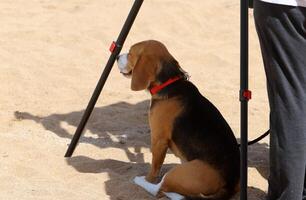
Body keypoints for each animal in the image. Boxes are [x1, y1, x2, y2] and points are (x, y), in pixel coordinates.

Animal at [116, 39, 240, 199]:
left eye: (131, 53)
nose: (117, 56)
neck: (169, 83)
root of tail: (228, 186)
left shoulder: (158, 139)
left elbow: (154, 168)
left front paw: (148, 178)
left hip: (178, 173)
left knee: (159, 189)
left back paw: (139, 180)